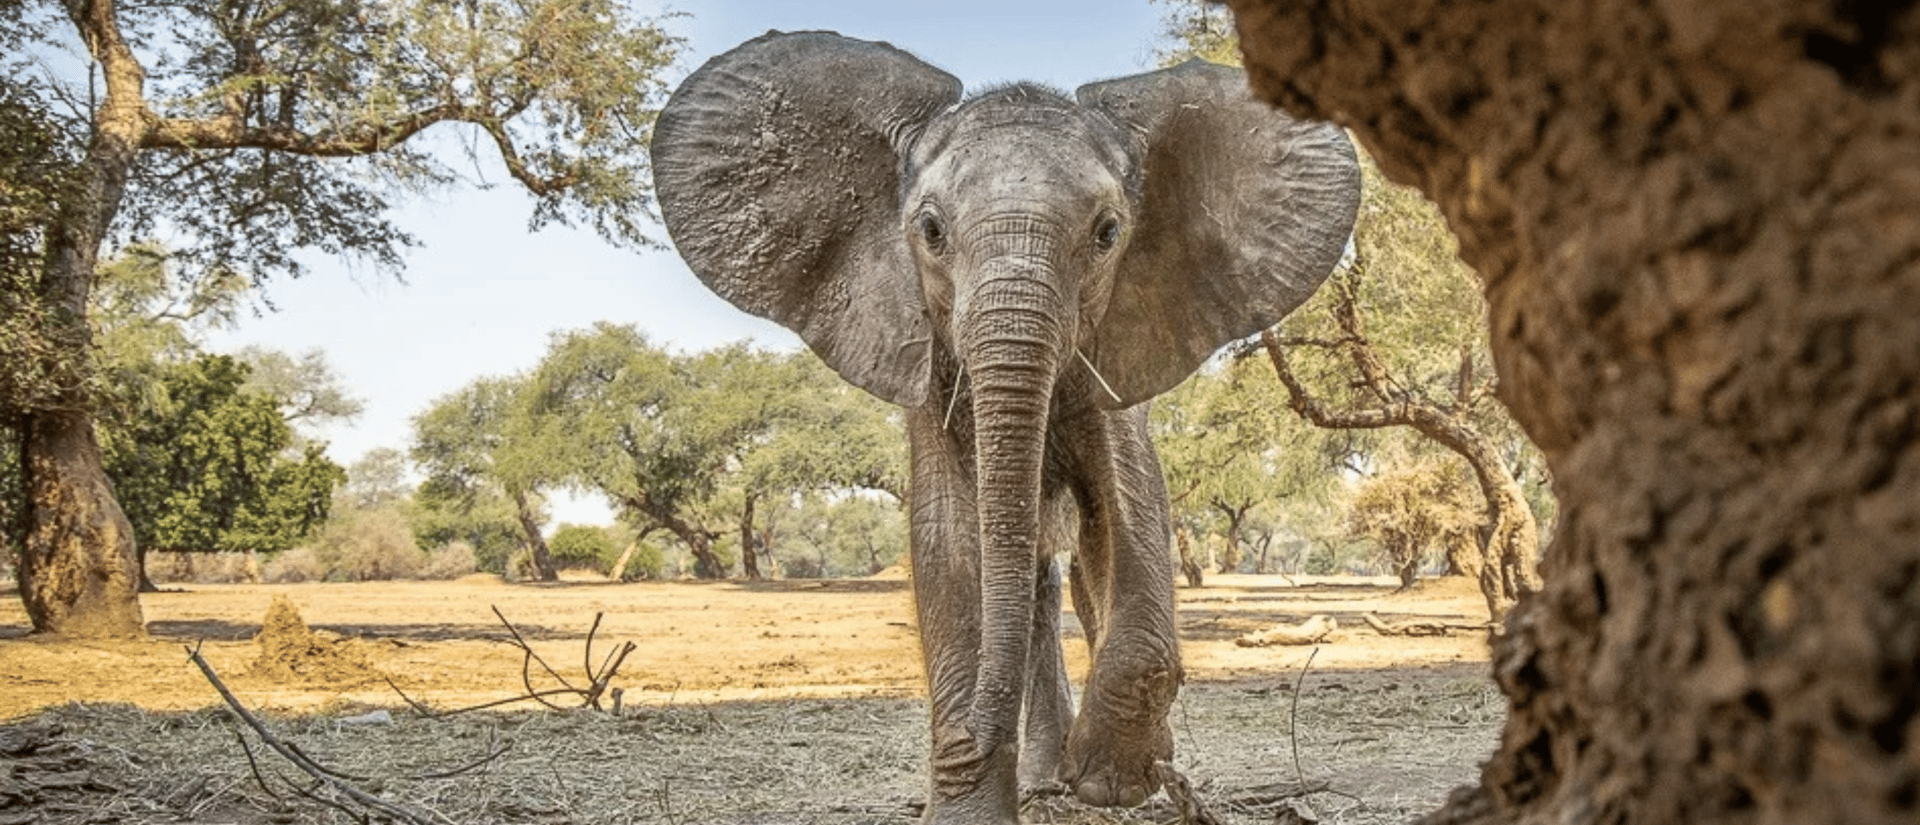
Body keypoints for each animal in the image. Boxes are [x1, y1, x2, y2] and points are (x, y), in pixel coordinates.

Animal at [650, 31, 1359, 824]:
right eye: (930, 231)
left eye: (1108, 233)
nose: (973, 742)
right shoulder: (928, 368)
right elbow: (950, 539)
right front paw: (976, 802)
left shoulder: (1117, 364)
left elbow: (1131, 510)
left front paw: (1108, 779)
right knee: (1041, 582)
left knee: (1077, 567)